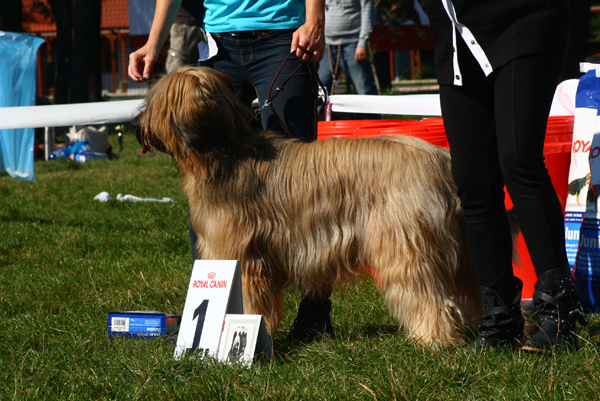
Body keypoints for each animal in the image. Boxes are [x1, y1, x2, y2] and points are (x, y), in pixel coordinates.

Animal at [135, 66, 482, 346]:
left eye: (154, 100)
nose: (136, 124)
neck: (228, 151)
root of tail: (441, 158)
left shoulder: (242, 254)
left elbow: (247, 299)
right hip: (460, 246)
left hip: (404, 242)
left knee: (427, 294)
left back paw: (432, 338)